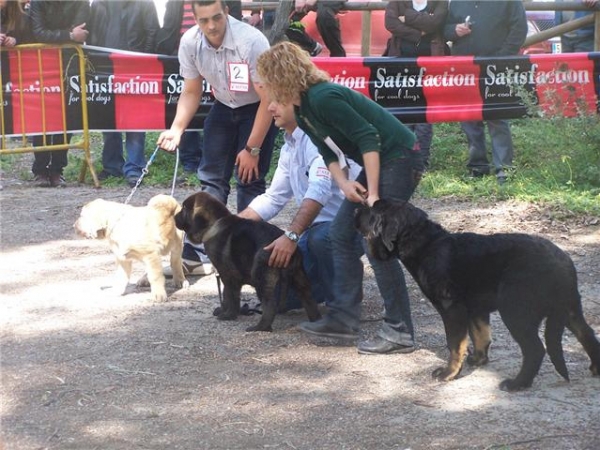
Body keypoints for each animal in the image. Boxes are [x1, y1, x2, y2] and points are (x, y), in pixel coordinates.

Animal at [175, 192, 322, 332]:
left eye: (184, 208)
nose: (174, 216)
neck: (215, 224)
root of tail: (290, 252)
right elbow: (227, 294)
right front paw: (224, 311)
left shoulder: (228, 275)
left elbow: (229, 295)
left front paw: (228, 315)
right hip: (299, 278)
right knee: (308, 298)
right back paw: (315, 321)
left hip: (261, 278)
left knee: (270, 305)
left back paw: (261, 327)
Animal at [356, 200, 600, 390]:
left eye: (372, 211)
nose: (356, 209)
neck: (426, 245)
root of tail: (563, 263)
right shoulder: (475, 309)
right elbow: (480, 336)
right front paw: (478, 360)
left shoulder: (452, 308)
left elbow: (455, 344)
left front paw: (449, 373)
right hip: (570, 309)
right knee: (587, 334)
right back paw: (595, 369)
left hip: (515, 311)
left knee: (535, 349)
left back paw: (517, 384)